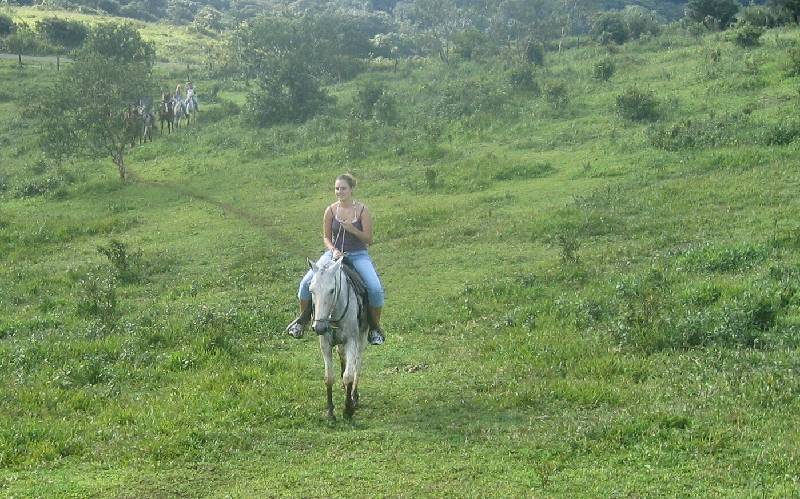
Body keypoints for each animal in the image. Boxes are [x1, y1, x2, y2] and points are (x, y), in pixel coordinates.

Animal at [308, 256, 370, 420]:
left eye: (332, 290)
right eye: (311, 290)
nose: (319, 327)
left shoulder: (351, 341)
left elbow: (349, 375)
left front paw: (348, 409)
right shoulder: (325, 344)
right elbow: (329, 377)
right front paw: (330, 412)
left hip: (362, 337)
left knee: (357, 365)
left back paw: (354, 395)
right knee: (342, 356)